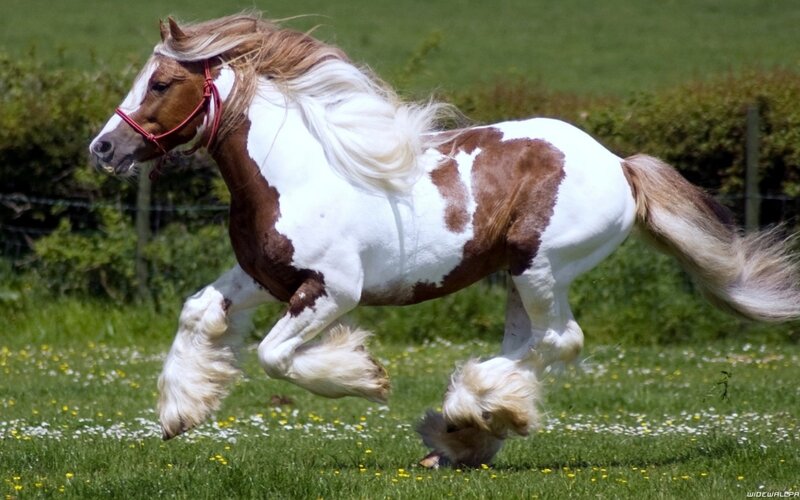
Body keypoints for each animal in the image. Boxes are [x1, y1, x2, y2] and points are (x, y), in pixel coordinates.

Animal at [89, 13, 800, 468]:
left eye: (160, 84)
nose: (104, 149)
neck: (297, 171)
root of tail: (620, 166)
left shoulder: (333, 292)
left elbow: (273, 356)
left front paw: (366, 378)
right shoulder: (263, 278)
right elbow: (198, 312)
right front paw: (180, 413)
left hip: (541, 268)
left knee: (559, 341)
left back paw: (467, 414)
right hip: (518, 277)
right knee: (533, 343)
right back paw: (466, 432)